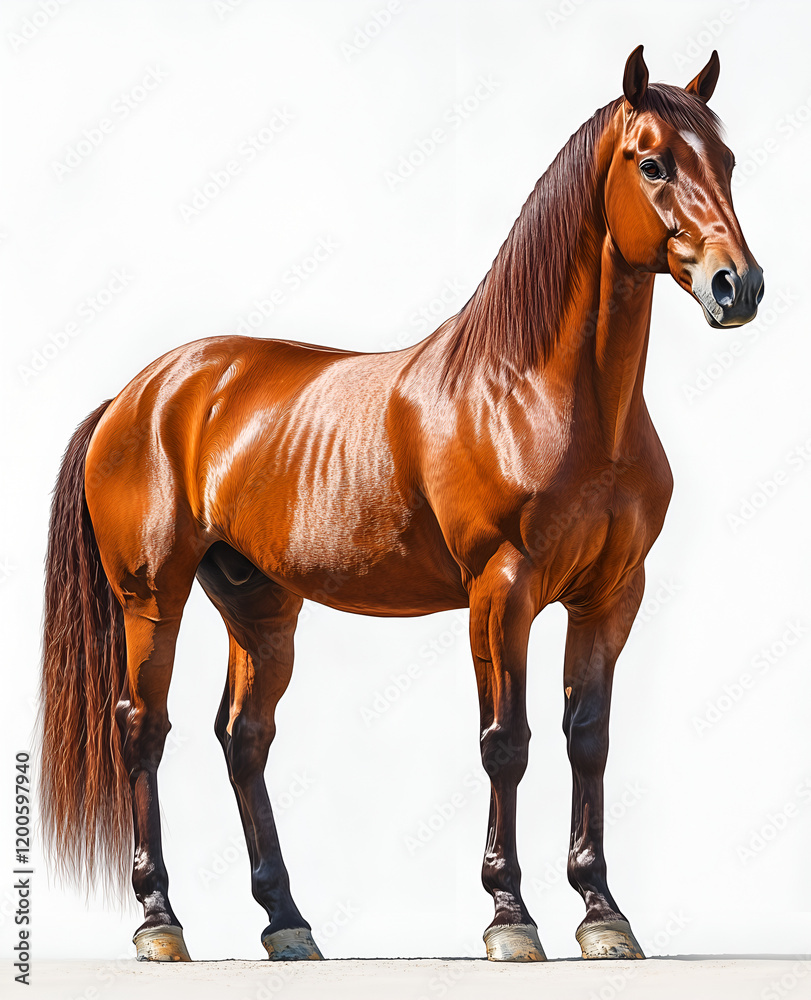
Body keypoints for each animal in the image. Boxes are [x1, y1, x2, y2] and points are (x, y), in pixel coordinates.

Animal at [39, 45, 763, 963]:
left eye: (726, 161)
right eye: (652, 163)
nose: (737, 287)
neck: (536, 392)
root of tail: (139, 393)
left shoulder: (609, 595)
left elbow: (588, 739)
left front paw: (602, 913)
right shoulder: (500, 591)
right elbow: (506, 743)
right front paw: (509, 917)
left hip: (257, 602)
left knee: (243, 738)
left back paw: (287, 921)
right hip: (151, 596)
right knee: (142, 729)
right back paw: (160, 921)